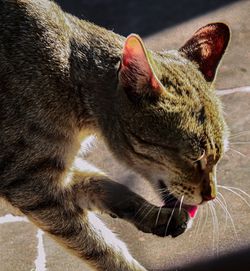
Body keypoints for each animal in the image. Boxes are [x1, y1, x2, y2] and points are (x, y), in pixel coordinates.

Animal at [0, 0, 230, 271]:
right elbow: (99, 246)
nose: (211, 196)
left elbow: (105, 183)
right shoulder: (30, 183)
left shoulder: (58, 171)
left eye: (218, 157)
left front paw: (157, 216)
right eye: (195, 157)